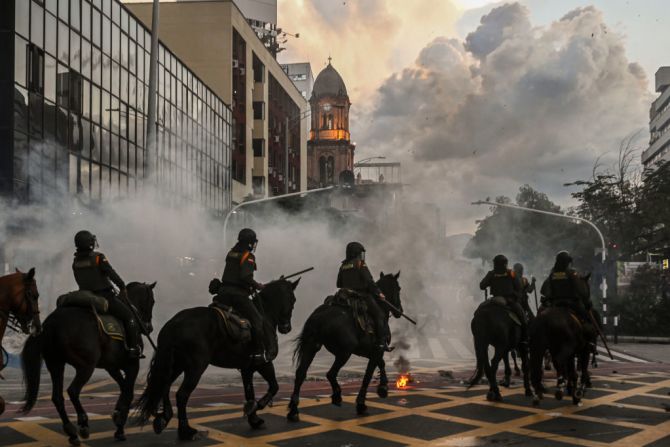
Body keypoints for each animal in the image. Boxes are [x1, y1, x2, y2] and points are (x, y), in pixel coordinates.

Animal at [20, 282, 158, 446]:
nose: (149, 327)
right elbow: (128, 392)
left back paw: (71, 432)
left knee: (57, 397)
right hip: (86, 366)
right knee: (73, 391)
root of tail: (51, 323)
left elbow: (124, 388)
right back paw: (83, 423)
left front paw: (117, 414)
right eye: (152, 301)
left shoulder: (112, 367)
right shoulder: (132, 365)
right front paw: (120, 427)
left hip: (55, 364)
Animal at [135, 280, 300, 440]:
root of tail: (174, 324)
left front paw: (254, 419)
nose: (287, 328)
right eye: (293, 299)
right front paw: (259, 405)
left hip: (176, 364)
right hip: (195, 368)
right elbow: (274, 386)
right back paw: (186, 431)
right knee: (181, 395)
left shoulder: (247, 368)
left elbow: (250, 393)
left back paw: (164, 418)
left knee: (165, 386)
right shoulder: (265, 363)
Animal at [286, 272, 402, 422]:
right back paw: (337, 396)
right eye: (398, 288)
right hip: (344, 353)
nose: (399, 311)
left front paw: (383, 387)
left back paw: (294, 410)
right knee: (330, 374)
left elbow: (380, 364)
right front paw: (362, 403)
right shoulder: (377, 350)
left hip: (311, 346)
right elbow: (368, 375)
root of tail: (320, 316)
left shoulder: (369, 351)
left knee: (301, 373)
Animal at [532, 274, 592, 408]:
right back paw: (560, 387)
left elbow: (572, 373)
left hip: (540, 347)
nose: (589, 304)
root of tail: (546, 319)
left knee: (539, 367)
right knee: (559, 362)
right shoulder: (583, 350)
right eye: (587, 289)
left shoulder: (570, 353)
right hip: (566, 348)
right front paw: (578, 394)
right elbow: (581, 371)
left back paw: (538, 394)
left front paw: (574, 394)